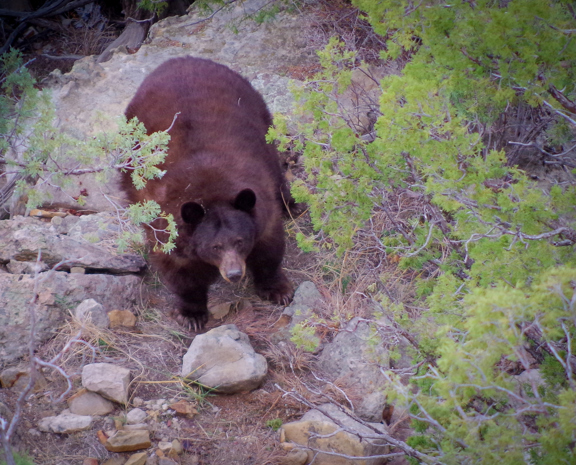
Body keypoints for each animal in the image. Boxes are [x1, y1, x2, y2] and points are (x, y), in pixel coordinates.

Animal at [121, 55, 292, 330]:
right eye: (215, 247)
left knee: (275, 165)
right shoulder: (168, 227)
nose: (234, 273)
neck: (210, 193)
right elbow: (181, 273)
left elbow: (269, 248)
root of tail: (181, 59)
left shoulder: (261, 204)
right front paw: (191, 313)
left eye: (240, 241)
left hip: (255, 109)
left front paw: (277, 289)